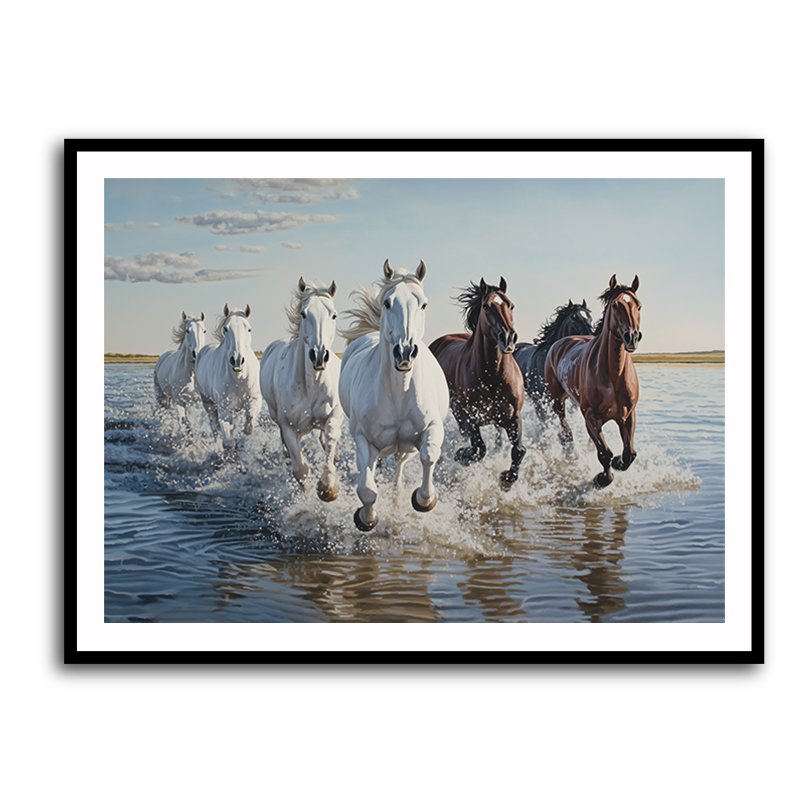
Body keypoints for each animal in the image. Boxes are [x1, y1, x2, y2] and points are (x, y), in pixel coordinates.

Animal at [195, 303, 262, 452]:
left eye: (249, 329)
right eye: (226, 329)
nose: (237, 360)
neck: (239, 377)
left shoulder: (254, 398)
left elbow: (249, 420)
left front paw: (245, 433)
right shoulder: (224, 408)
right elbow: (228, 440)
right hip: (208, 403)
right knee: (214, 426)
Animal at [259, 277, 344, 502]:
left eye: (334, 314)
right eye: (304, 314)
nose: (319, 355)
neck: (312, 385)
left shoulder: (333, 417)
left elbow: (329, 449)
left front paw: (328, 488)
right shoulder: (288, 426)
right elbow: (301, 469)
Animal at [338, 259, 449, 532]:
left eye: (423, 303)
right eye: (388, 303)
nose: (405, 352)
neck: (400, 393)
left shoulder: (432, 428)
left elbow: (429, 456)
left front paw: (424, 499)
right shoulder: (363, 440)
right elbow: (367, 489)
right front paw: (366, 519)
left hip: (405, 447)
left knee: (399, 467)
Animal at [430, 277, 526, 490]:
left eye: (511, 305)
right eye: (486, 306)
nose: (508, 338)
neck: (493, 376)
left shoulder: (513, 417)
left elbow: (519, 450)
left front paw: (507, 480)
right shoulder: (472, 417)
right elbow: (479, 449)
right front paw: (461, 455)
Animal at [544, 274, 642, 488]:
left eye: (639, 305)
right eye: (615, 305)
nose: (632, 337)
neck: (613, 375)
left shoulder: (627, 415)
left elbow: (630, 453)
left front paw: (619, 462)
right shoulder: (591, 417)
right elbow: (604, 453)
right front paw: (602, 479)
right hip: (557, 399)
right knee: (563, 422)